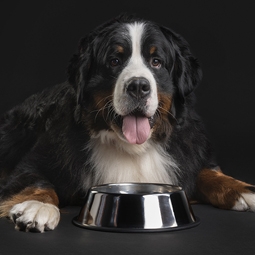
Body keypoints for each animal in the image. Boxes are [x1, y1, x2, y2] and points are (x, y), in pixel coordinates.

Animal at [0, 14, 255, 233]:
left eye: (156, 62)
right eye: (114, 61)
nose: (138, 86)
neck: (132, 148)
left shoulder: (189, 154)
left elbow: (208, 172)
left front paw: (244, 189)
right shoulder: (37, 161)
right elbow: (38, 181)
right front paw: (37, 206)